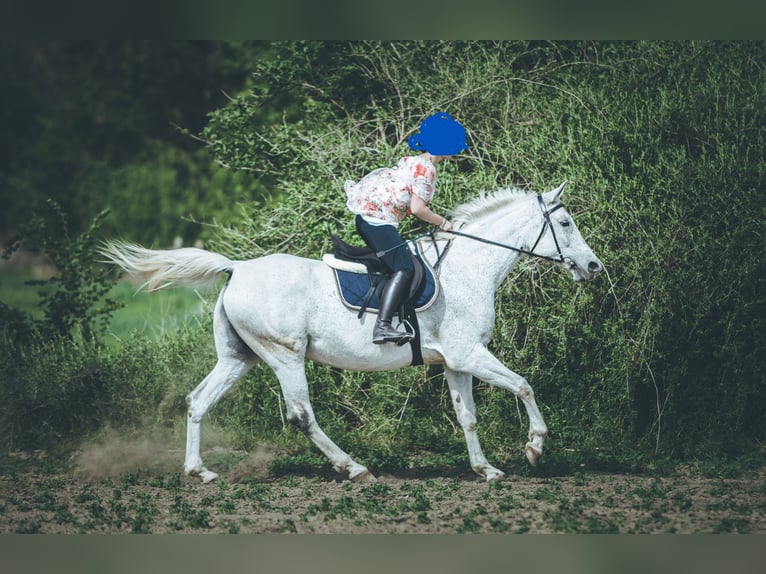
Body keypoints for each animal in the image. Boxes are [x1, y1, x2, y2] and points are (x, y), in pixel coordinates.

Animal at [102, 182, 608, 484]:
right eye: (565, 223)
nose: (593, 267)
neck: (470, 268)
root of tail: (237, 268)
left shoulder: (456, 361)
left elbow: (467, 416)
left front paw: (485, 469)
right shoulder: (471, 354)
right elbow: (524, 386)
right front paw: (535, 447)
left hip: (238, 358)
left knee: (198, 401)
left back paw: (199, 472)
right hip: (284, 355)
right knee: (301, 415)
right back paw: (354, 468)